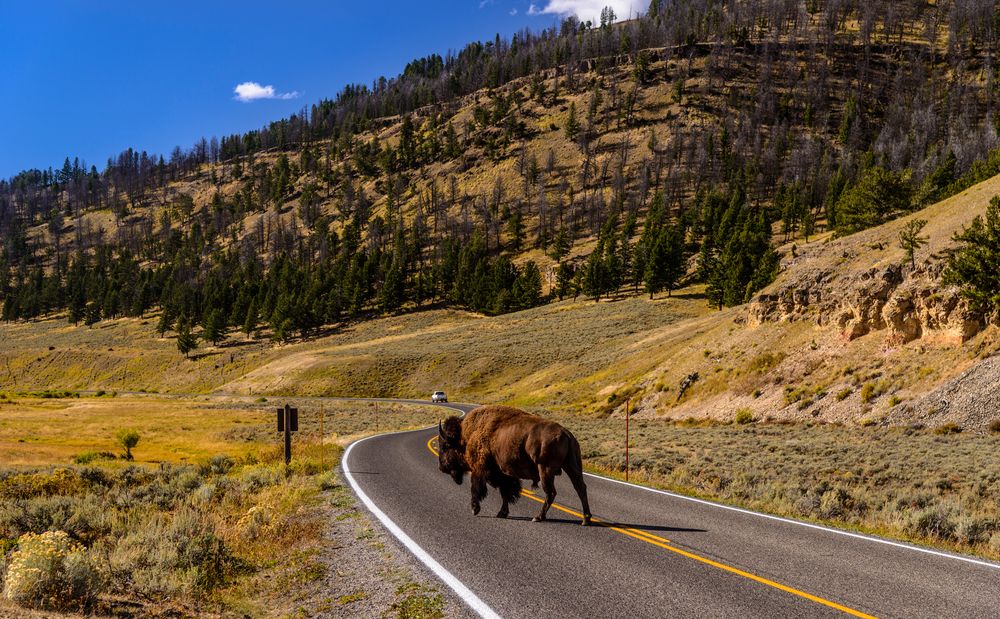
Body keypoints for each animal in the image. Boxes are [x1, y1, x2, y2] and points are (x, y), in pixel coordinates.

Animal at [438, 406, 592, 528]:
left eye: (445, 446)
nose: (441, 467)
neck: (465, 437)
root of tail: (566, 433)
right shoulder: (503, 474)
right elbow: (505, 493)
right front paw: (502, 513)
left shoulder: (480, 469)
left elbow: (476, 489)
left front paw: (475, 509)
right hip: (572, 467)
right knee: (580, 488)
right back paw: (586, 520)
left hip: (545, 469)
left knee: (551, 493)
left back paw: (538, 517)